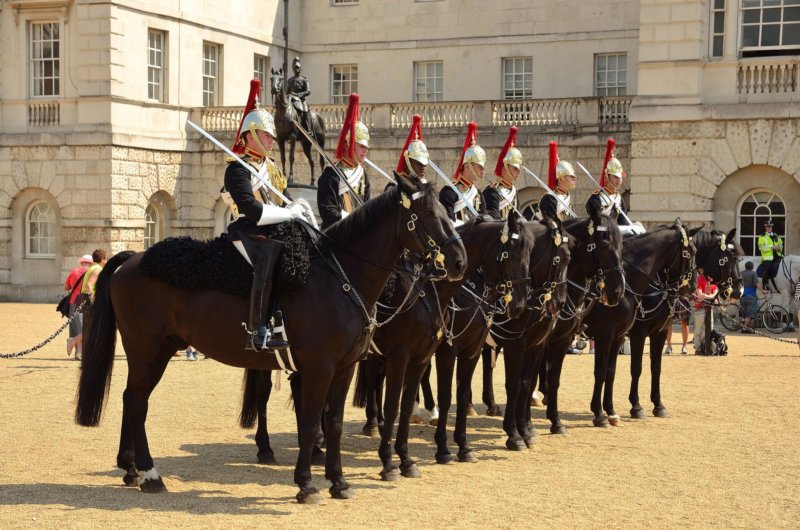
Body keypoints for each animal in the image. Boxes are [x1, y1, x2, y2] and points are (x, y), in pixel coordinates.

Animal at [73, 175, 468, 502]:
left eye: (446, 212)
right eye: (428, 212)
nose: (459, 261)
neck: (340, 275)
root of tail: (133, 259)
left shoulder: (346, 368)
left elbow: (335, 423)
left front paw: (339, 482)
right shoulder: (324, 367)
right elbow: (311, 421)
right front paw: (307, 484)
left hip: (159, 350)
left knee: (130, 399)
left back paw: (131, 470)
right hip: (147, 350)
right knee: (137, 402)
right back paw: (151, 474)